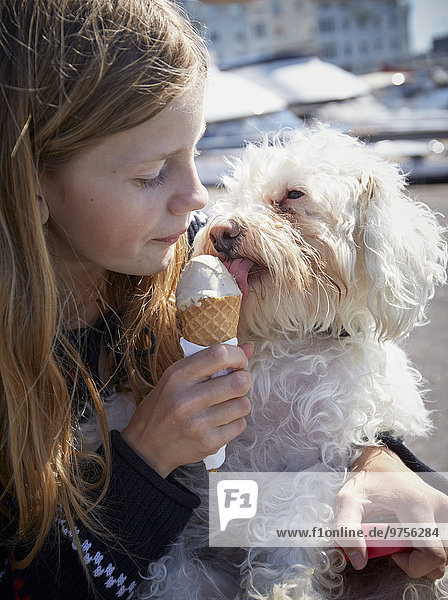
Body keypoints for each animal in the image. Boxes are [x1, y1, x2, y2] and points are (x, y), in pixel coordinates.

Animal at [136, 125, 448, 600]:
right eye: (234, 194)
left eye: (294, 194)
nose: (221, 230)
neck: (293, 338)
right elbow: (176, 572)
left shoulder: (323, 462)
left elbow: (293, 528)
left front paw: (283, 587)